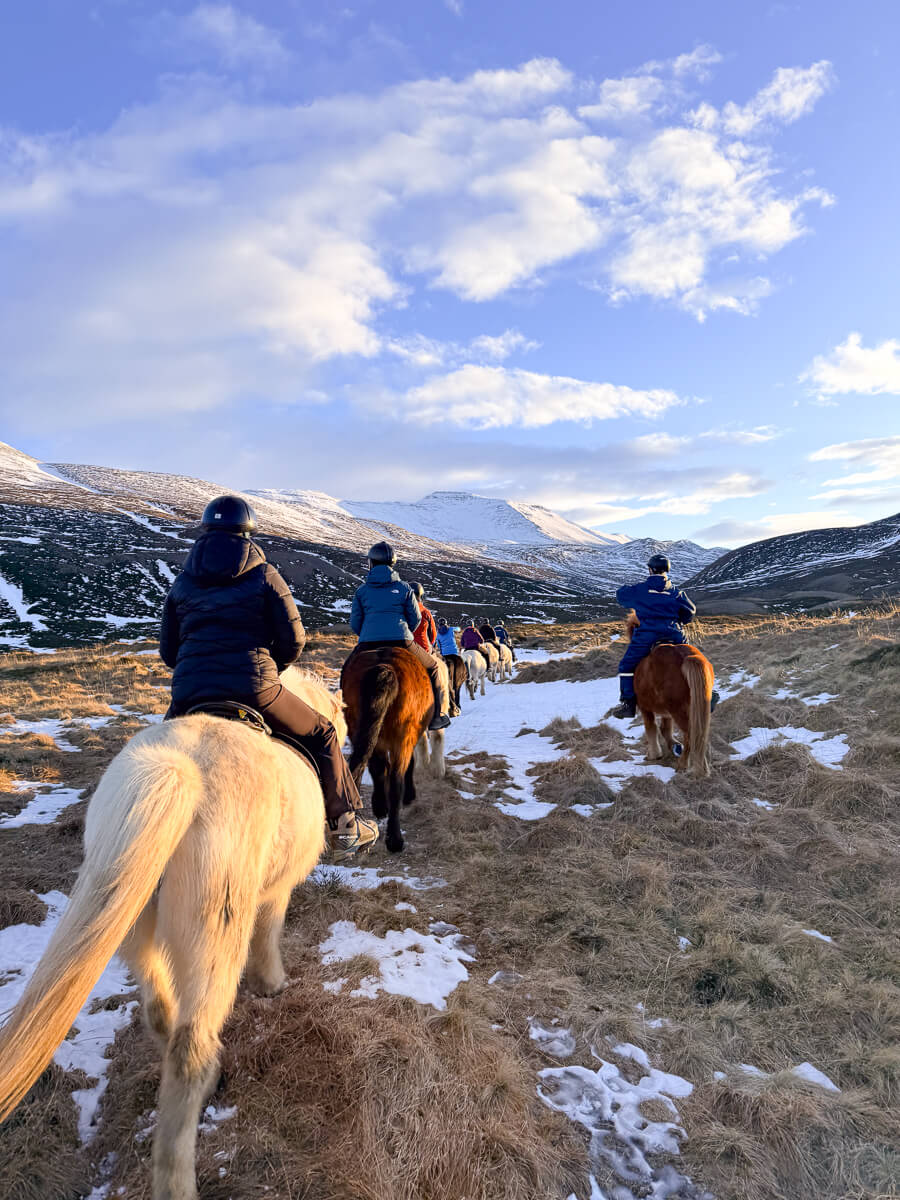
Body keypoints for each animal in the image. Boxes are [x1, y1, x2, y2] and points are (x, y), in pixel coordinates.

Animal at [0, 666, 341, 1200]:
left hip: (134, 923)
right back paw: (180, 1170)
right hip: (213, 935)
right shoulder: (276, 892)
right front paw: (272, 984)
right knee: (190, 1048)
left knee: (158, 1011)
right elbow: (270, 933)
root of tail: (180, 768)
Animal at [340, 647, 435, 853]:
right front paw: (409, 795)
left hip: (362, 730)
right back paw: (395, 839)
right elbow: (408, 766)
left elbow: (378, 769)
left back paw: (375, 811)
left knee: (371, 769)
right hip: (403, 738)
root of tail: (383, 667)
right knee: (395, 780)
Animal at [626, 613, 714, 778]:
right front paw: (674, 746)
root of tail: (687, 656)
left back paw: (684, 766)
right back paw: (701, 765)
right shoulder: (666, 713)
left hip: (677, 709)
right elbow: (665, 729)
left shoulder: (645, 708)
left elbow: (651, 728)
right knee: (699, 734)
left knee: (690, 734)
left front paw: (654, 754)